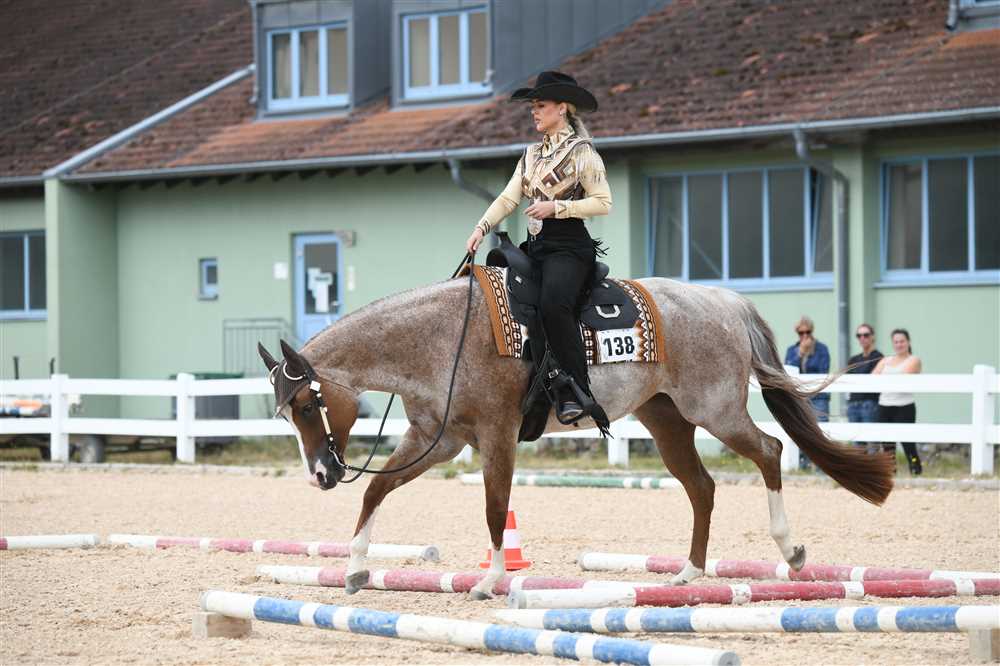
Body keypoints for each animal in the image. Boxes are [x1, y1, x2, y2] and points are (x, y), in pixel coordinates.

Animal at [257, 272, 895, 600]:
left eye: (307, 405)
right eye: (286, 414)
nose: (321, 474)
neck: (442, 338)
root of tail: (724, 300)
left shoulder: (495, 437)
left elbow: (495, 509)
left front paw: (492, 580)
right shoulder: (438, 440)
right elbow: (376, 491)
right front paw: (355, 568)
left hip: (715, 410)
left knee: (770, 451)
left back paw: (791, 551)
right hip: (667, 421)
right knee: (702, 486)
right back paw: (689, 573)